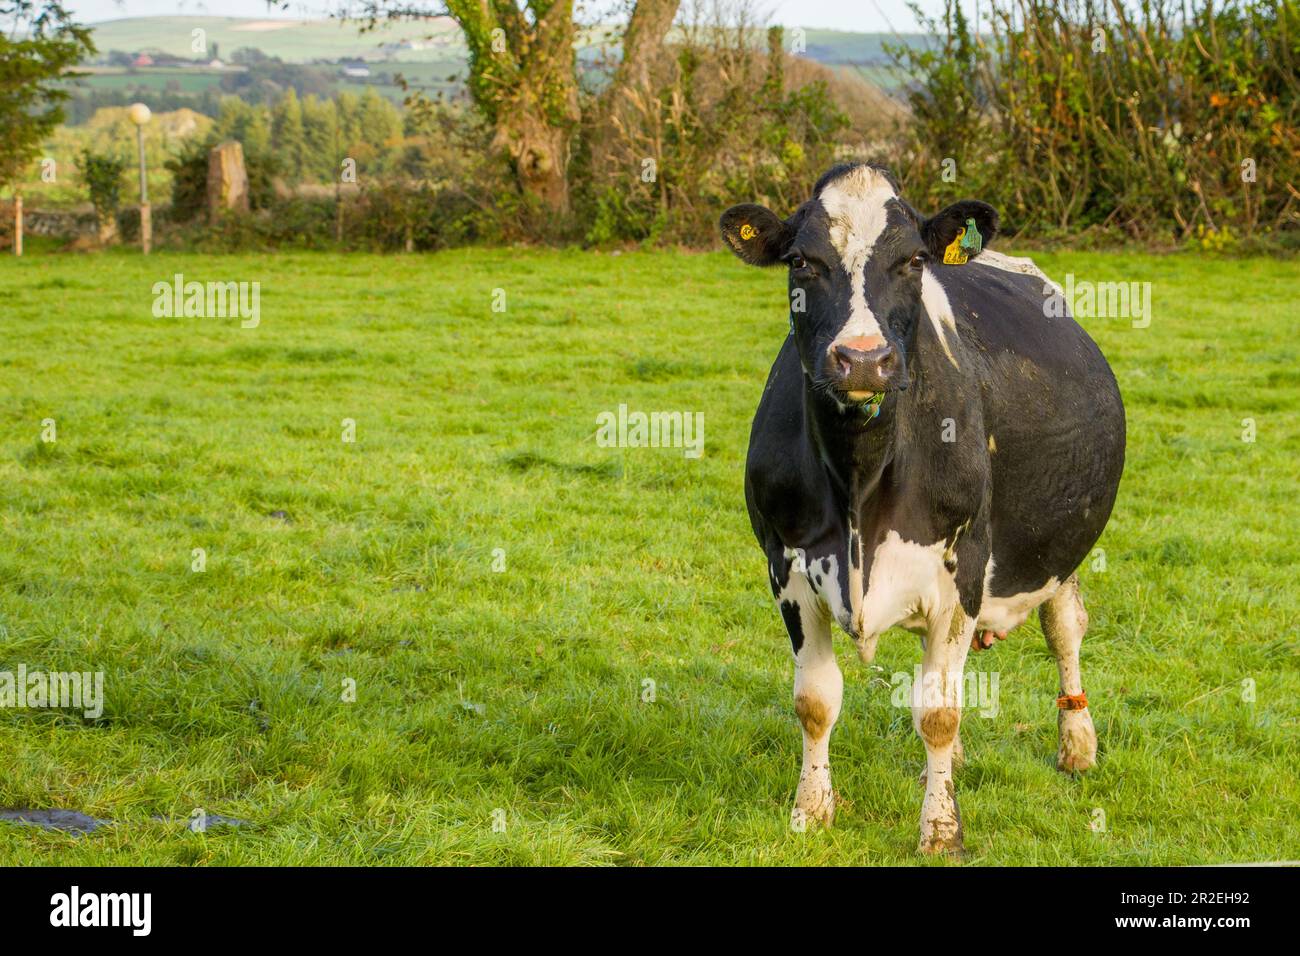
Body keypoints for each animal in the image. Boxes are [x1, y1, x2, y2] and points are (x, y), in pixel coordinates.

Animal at [720, 163, 1125, 855]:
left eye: (911, 260)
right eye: (801, 261)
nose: (862, 359)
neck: (860, 480)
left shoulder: (962, 569)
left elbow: (937, 712)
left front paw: (940, 830)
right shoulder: (786, 567)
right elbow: (816, 700)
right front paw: (810, 812)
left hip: (1058, 549)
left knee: (1064, 629)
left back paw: (1077, 746)